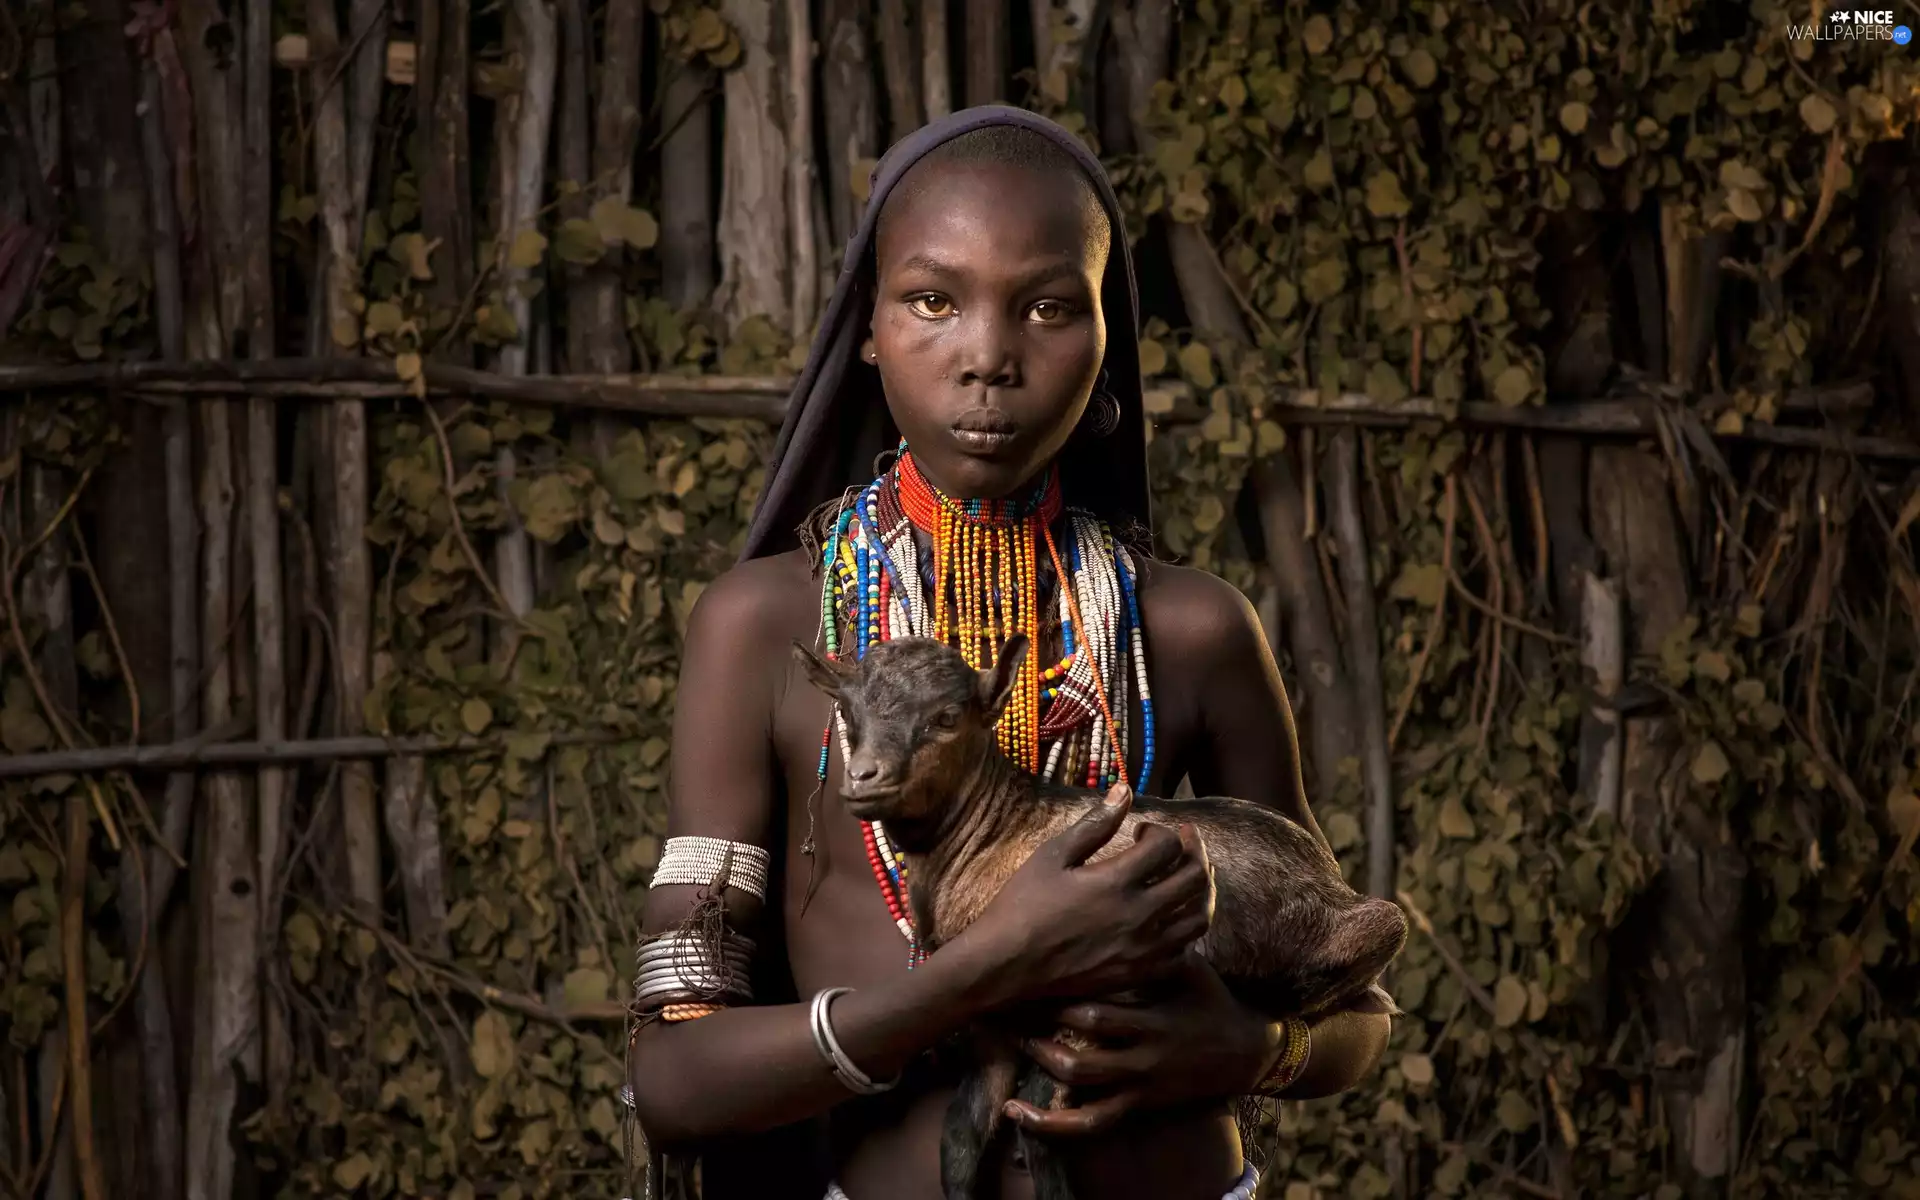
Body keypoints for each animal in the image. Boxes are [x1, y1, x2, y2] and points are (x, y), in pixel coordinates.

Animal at [795, 633, 1408, 1200]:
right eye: (846, 711)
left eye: (946, 717)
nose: (865, 777)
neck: (991, 835)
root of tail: (1326, 868)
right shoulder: (990, 1018)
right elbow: (961, 1138)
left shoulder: (1109, 990)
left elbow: (1039, 1125)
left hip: (1351, 923)